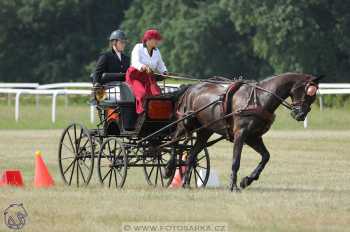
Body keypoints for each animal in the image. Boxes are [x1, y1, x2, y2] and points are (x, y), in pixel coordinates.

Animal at [165, 72, 322, 192]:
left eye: (313, 96)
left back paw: (185, 183)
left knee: (192, 155)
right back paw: (169, 168)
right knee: (174, 140)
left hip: (205, 130)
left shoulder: (253, 137)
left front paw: (247, 180)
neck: (259, 99)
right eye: (308, 93)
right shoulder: (240, 134)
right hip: (184, 124)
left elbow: (266, 156)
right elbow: (236, 160)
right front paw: (233, 186)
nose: (300, 115)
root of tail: (190, 88)